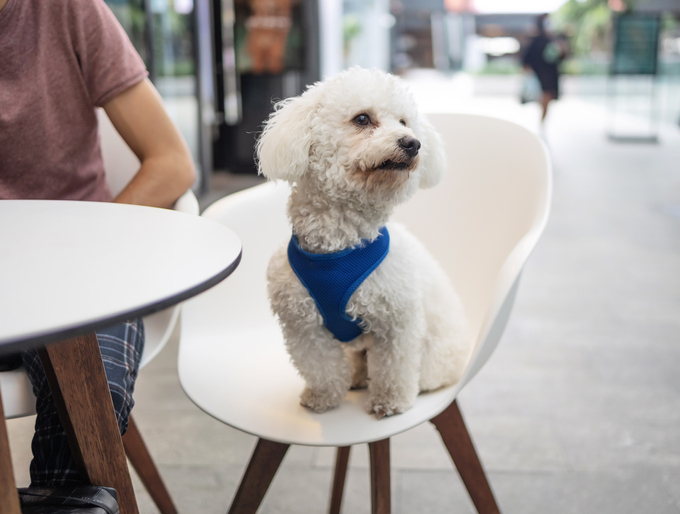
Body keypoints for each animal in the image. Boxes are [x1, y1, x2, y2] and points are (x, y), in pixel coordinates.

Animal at [258, 66, 470, 418]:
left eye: (404, 122)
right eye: (362, 119)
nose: (412, 143)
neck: (339, 248)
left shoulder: (397, 321)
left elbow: (394, 368)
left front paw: (390, 401)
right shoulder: (303, 326)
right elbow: (320, 368)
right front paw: (323, 397)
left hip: (435, 358)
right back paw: (355, 377)